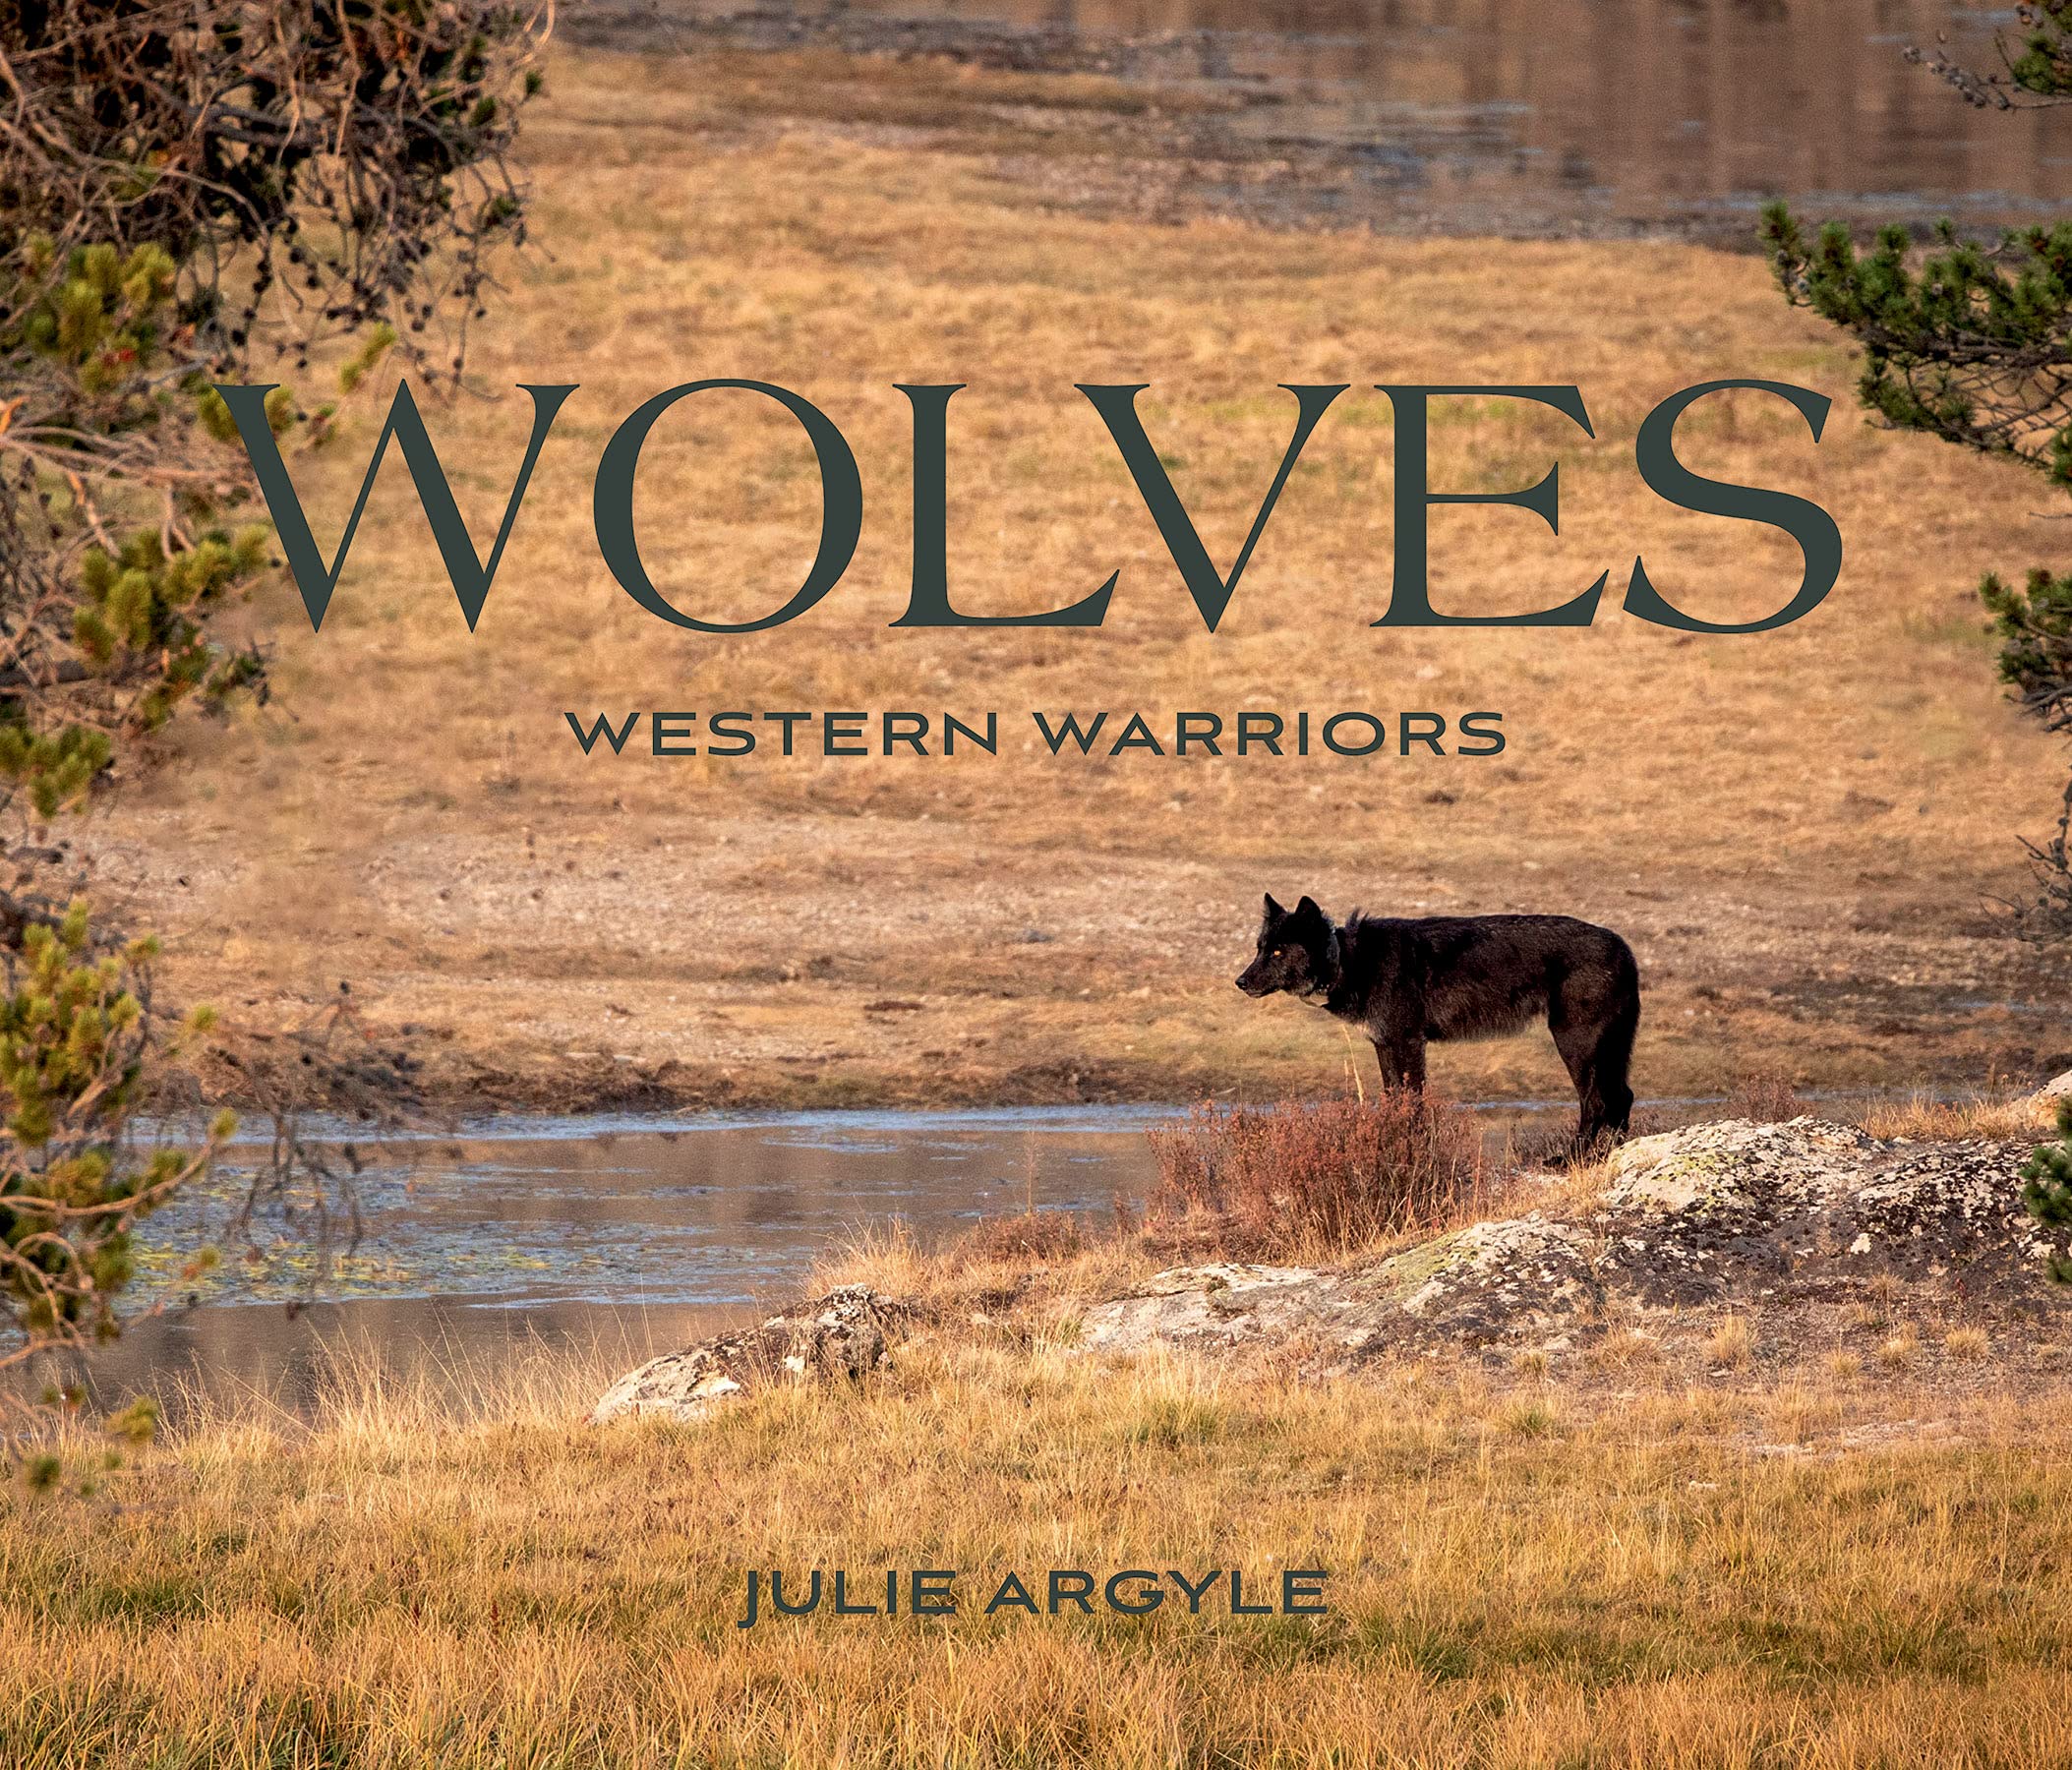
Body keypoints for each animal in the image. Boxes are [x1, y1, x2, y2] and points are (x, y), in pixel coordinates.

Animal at [1235, 894, 1641, 1144]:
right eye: (1259, 949)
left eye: (1277, 952)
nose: (1240, 982)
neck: (1351, 962)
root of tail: (1624, 946)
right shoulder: (1384, 1044)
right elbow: (1393, 1099)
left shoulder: (1408, 1043)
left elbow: (1412, 1103)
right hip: (1606, 1049)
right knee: (1622, 1096)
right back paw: (1610, 1153)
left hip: (1574, 1043)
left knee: (1597, 1102)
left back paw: (1571, 1159)